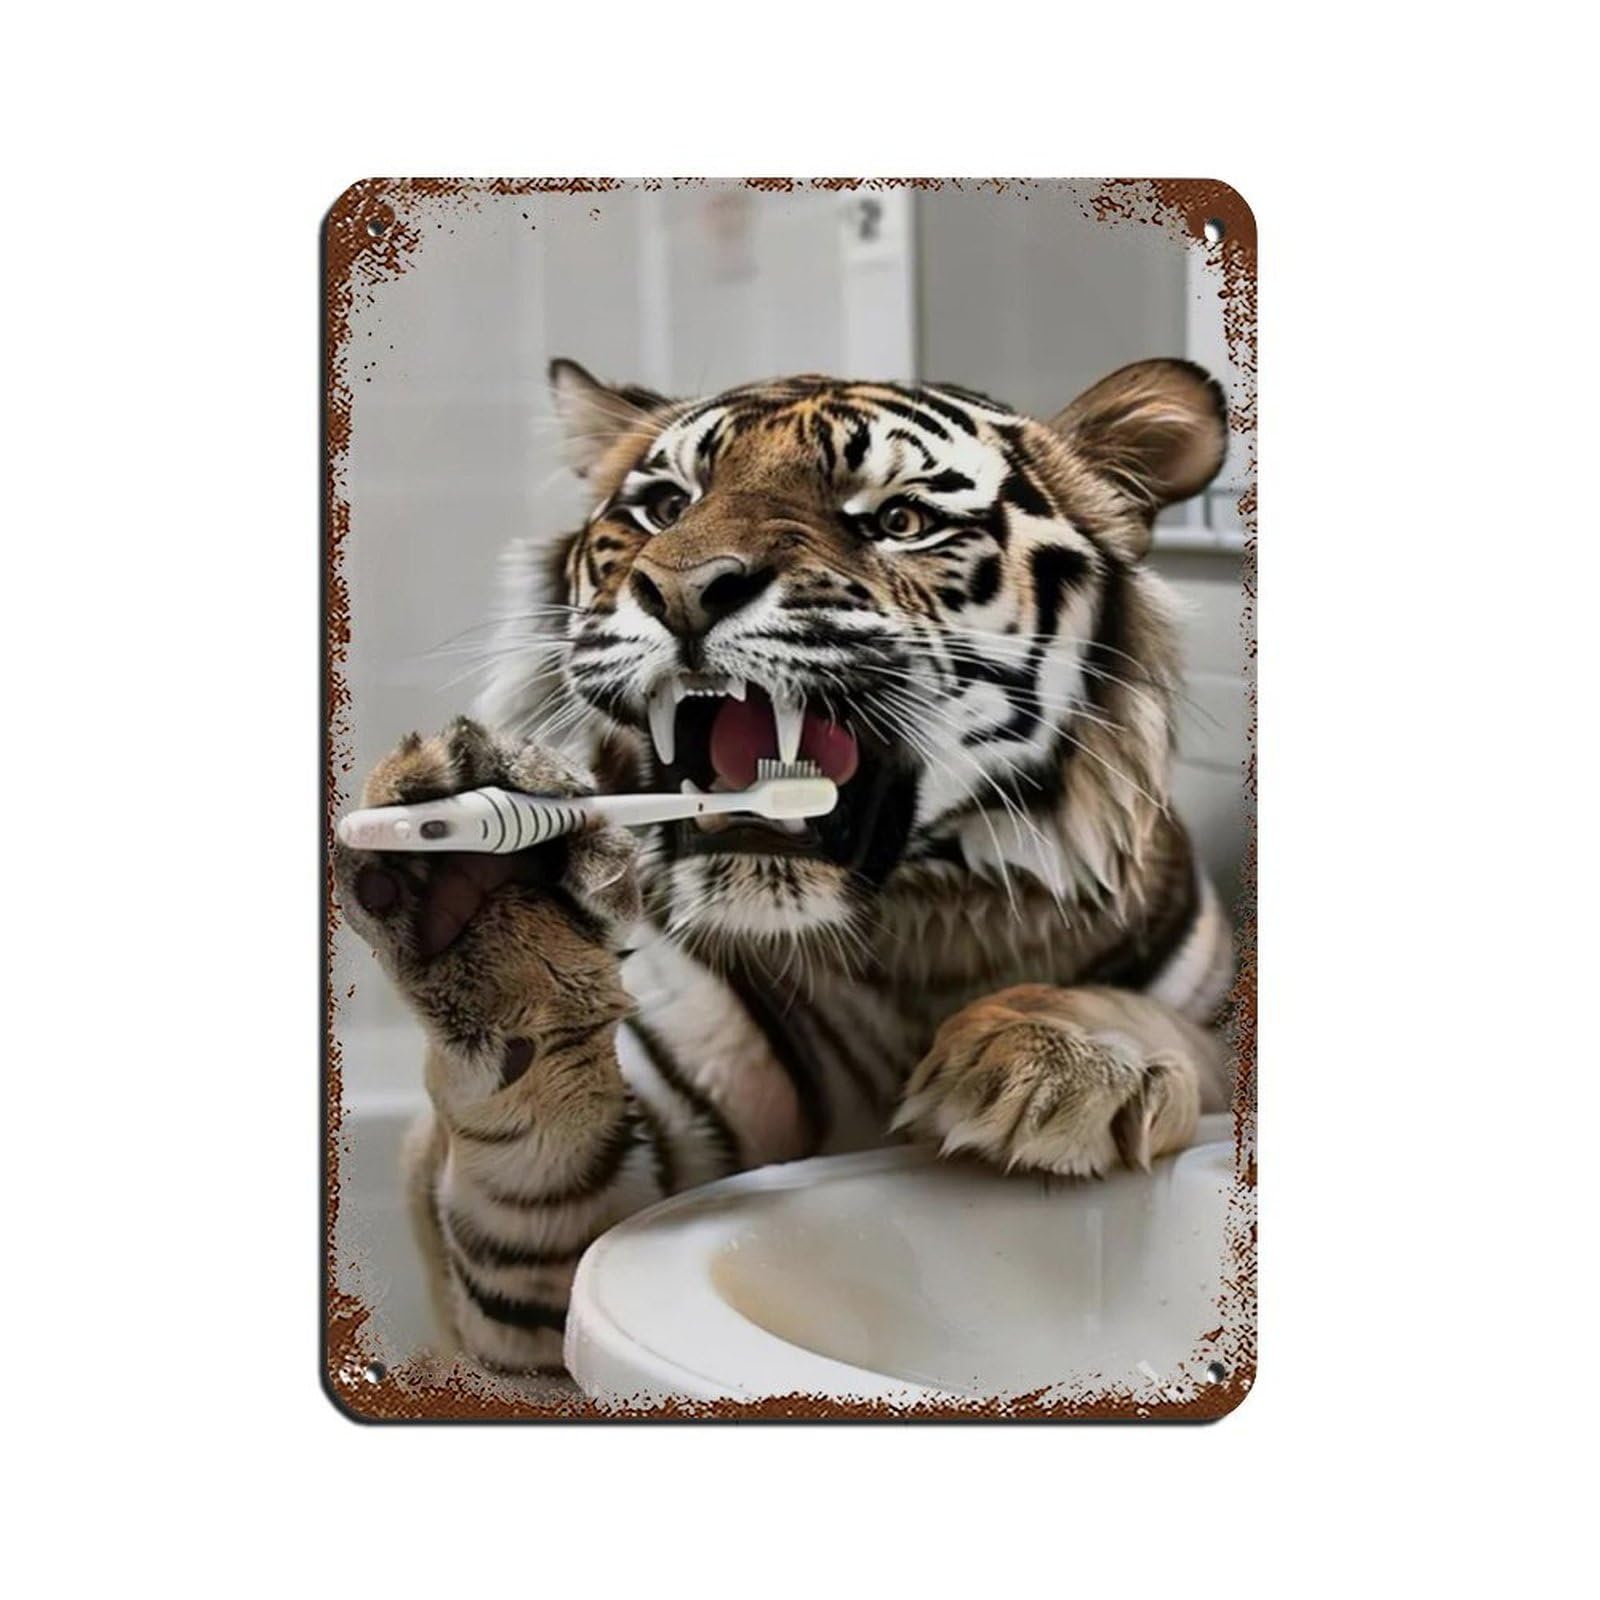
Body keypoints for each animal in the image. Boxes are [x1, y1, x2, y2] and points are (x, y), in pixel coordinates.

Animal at [334, 356, 1238, 1380]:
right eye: (666, 507)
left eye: (896, 519)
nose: (684, 589)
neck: (926, 940)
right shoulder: (551, 1283)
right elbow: (541, 1157)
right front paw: (492, 896)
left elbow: (1165, 1032)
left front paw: (1058, 1056)